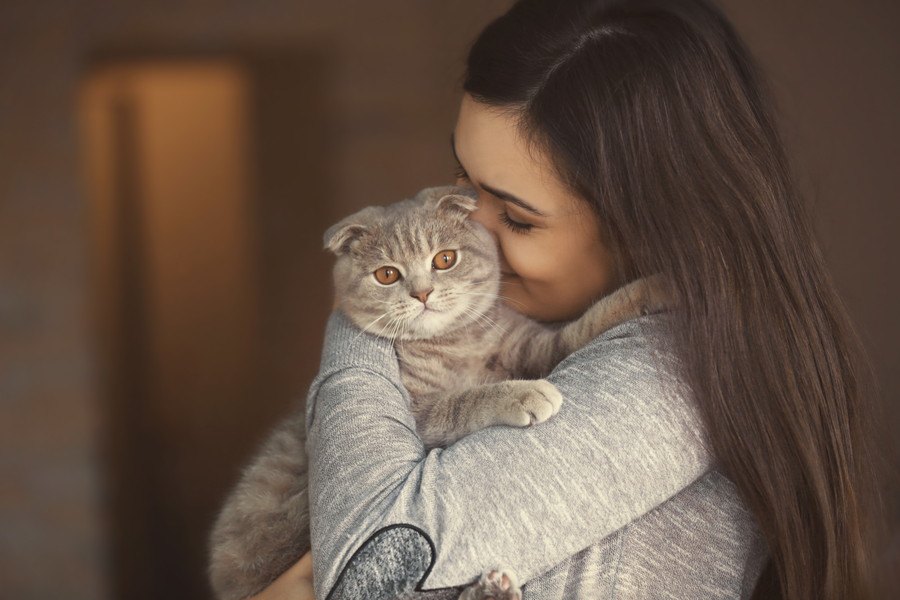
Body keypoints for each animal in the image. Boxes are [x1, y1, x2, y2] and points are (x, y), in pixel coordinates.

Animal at [207, 184, 672, 600]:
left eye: (444, 259)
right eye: (387, 274)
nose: (422, 292)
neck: (453, 344)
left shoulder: (535, 345)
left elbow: (583, 326)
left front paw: (654, 288)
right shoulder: (418, 414)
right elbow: (463, 401)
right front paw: (523, 395)